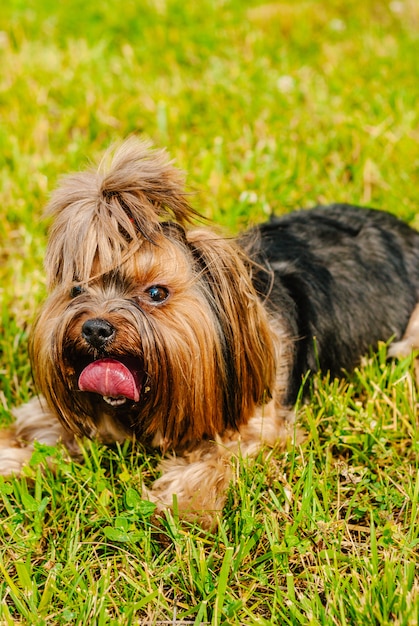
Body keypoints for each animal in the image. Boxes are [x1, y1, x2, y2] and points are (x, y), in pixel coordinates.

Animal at [0, 139, 419, 524]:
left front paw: (181, 500)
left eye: (157, 293)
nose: (95, 328)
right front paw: (15, 453)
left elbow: (223, 452)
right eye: (77, 289)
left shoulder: (260, 422)